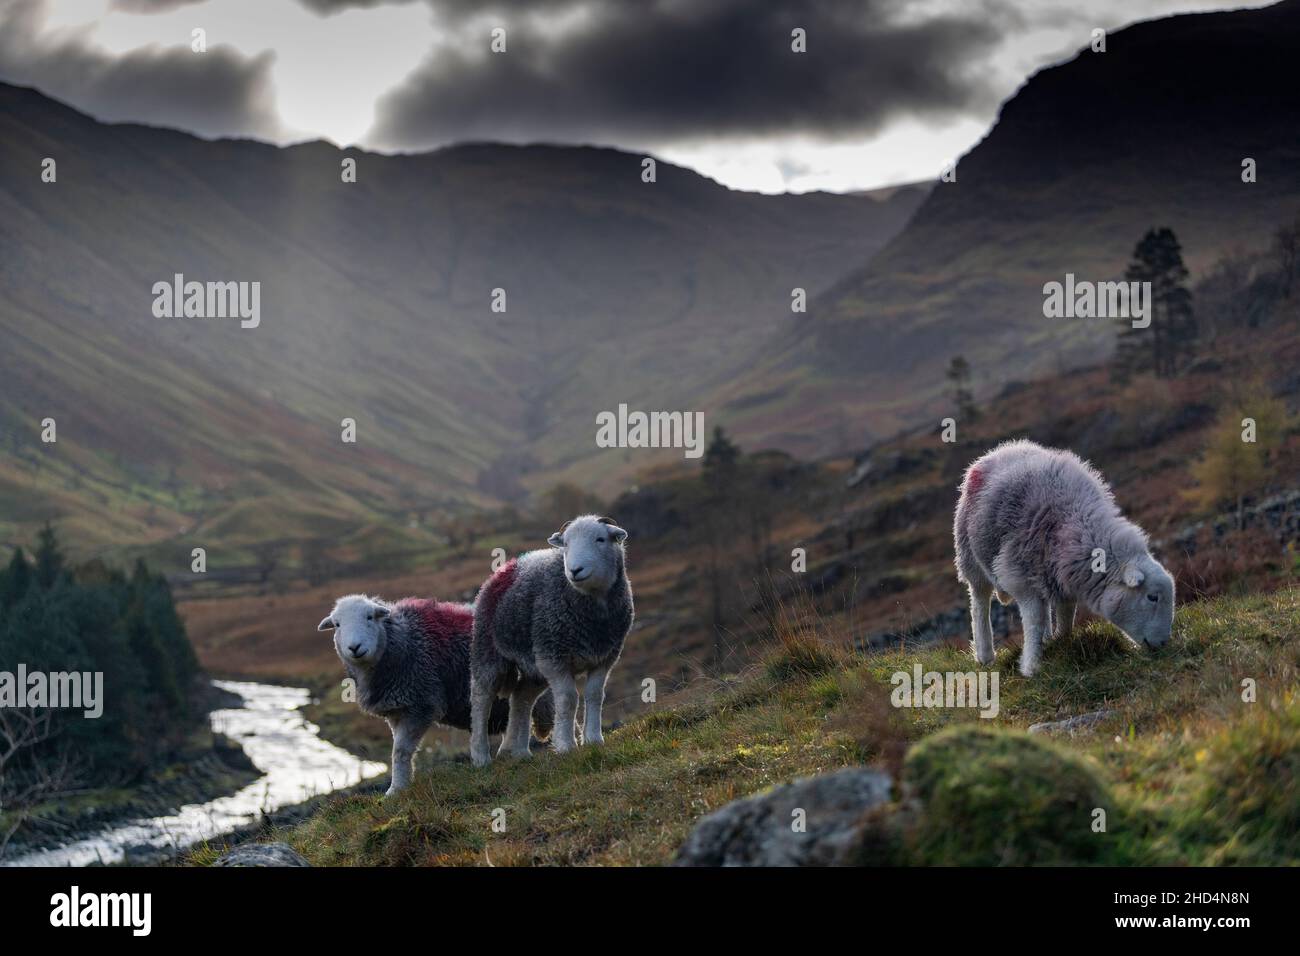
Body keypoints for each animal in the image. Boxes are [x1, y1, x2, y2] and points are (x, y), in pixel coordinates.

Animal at [322, 595, 556, 796]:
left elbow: (400, 750)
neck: (403, 642)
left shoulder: (421, 703)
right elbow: (398, 751)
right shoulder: (397, 711)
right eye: (337, 624)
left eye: (370, 617)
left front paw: (395, 790)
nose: (354, 647)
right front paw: (399, 787)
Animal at [473, 515, 634, 770]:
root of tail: (507, 568)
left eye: (600, 539)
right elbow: (568, 700)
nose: (575, 570)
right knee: (481, 700)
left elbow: (594, 695)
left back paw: (518, 751)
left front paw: (594, 739)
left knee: (521, 698)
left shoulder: (605, 657)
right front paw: (566, 746)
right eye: (565, 544)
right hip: (489, 652)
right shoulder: (554, 658)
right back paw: (480, 757)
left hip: (534, 666)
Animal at [951, 437, 1175, 676]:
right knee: (980, 602)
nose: (1163, 644)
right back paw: (985, 655)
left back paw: (1047, 638)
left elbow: (1066, 614)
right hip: (970, 556)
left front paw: (1061, 642)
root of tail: (1001, 449)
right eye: (1152, 597)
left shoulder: (1063, 575)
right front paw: (1031, 666)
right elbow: (1034, 619)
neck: (1076, 523)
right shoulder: (1020, 575)